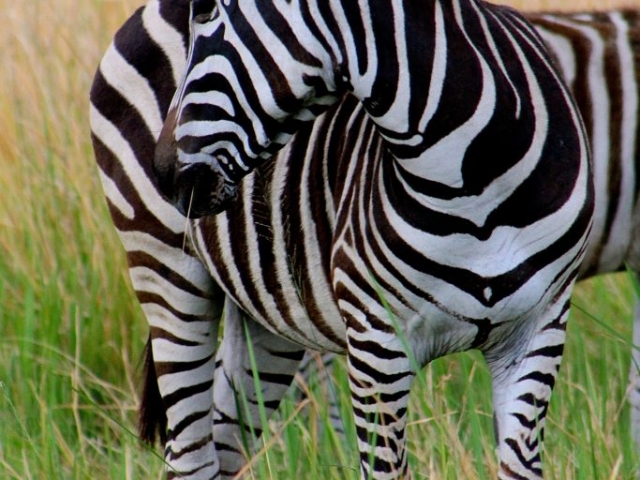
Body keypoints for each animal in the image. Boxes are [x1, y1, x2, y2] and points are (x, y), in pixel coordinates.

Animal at [89, 1, 640, 478]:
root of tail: (146, 10)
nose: (162, 172)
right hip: (165, 271)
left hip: (267, 312)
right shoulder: (378, 343)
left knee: (226, 446)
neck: (476, 183)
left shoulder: (538, 330)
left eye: (205, 10)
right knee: (190, 456)